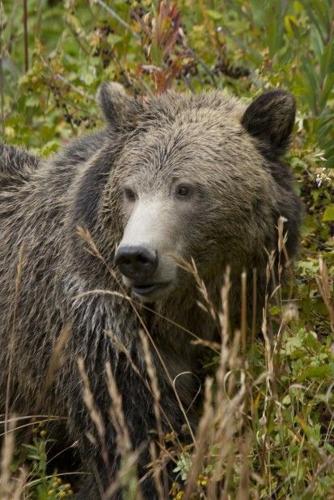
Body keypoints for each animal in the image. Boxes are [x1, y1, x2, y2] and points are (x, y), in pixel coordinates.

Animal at [0, 84, 302, 498]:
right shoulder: (105, 340)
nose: (136, 256)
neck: (180, 314)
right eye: (130, 191)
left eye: (185, 188)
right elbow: (131, 446)